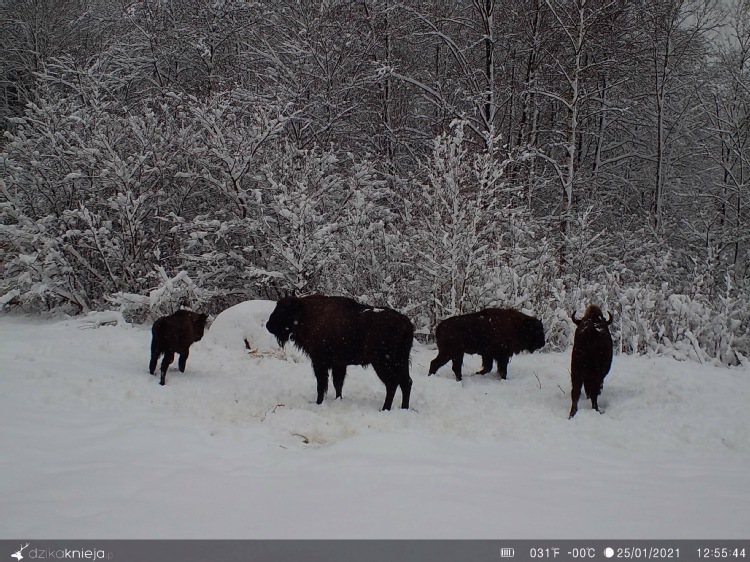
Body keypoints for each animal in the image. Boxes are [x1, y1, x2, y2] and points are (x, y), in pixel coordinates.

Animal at [266, 296, 418, 410]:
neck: (306, 314)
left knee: (392, 384)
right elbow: (337, 384)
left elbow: (322, 384)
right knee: (406, 382)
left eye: (283, 309)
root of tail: (404, 322)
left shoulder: (320, 362)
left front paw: (319, 402)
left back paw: (385, 408)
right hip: (401, 362)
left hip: (383, 363)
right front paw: (338, 399)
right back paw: (404, 407)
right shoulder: (338, 364)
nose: (268, 325)